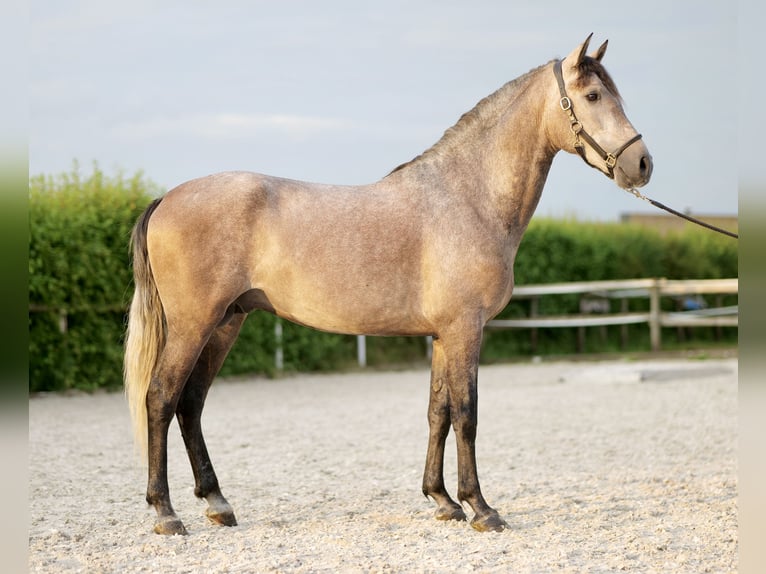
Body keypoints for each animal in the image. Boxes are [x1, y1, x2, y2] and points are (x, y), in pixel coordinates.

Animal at [124, 36, 656, 536]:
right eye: (592, 95)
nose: (643, 164)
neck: (467, 197)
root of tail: (166, 198)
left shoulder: (443, 335)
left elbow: (437, 412)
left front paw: (443, 501)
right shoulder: (465, 329)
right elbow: (467, 414)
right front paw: (481, 508)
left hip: (225, 323)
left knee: (191, 404)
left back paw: (217, 503)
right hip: (195, 324)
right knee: (161, 398)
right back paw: (166, 512)